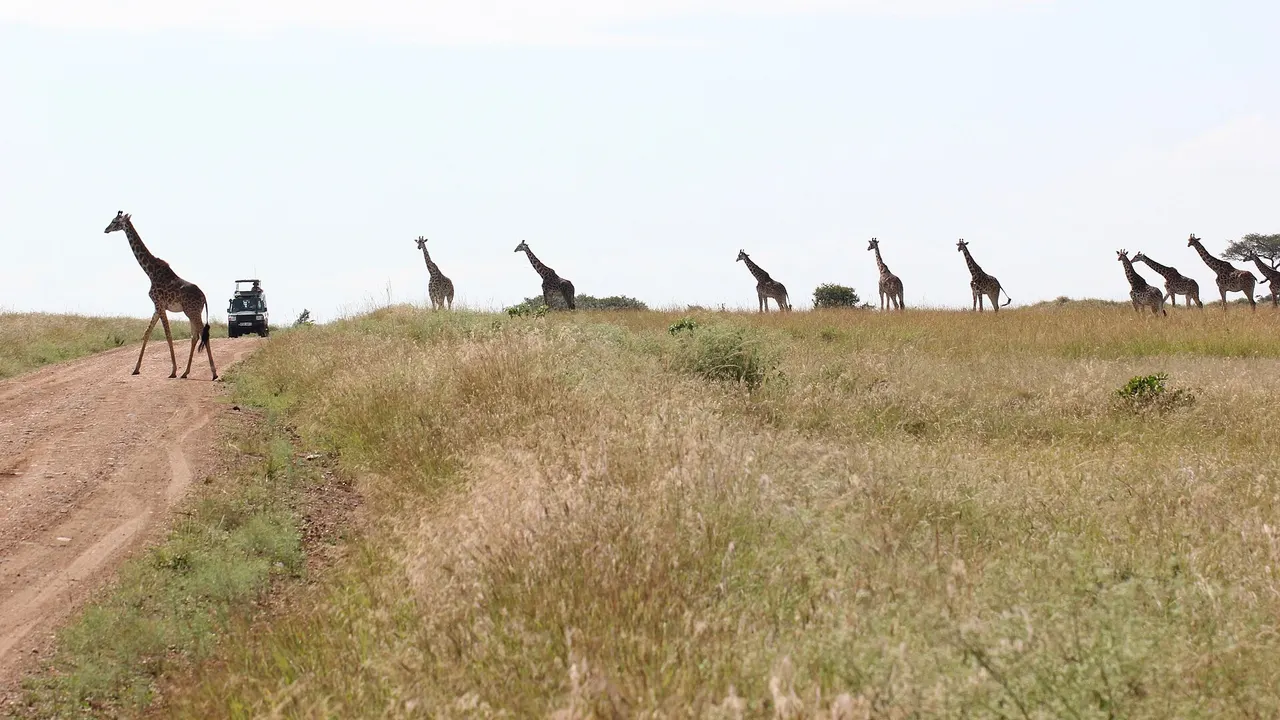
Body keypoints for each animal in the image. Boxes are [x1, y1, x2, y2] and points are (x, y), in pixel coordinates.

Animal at [104, 211, 217, 380]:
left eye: (114, 221)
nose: (106, 229)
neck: (149, 272)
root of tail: (204, 297)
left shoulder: (159, 304)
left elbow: (168, 335)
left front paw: (173, 371)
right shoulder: (157, 307)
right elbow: (147, 333)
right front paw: (136, 369)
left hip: (192, 311)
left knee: (202, 334)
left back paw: (213, 373)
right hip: (192, 312)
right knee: (195, 336)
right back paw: (185, 372)